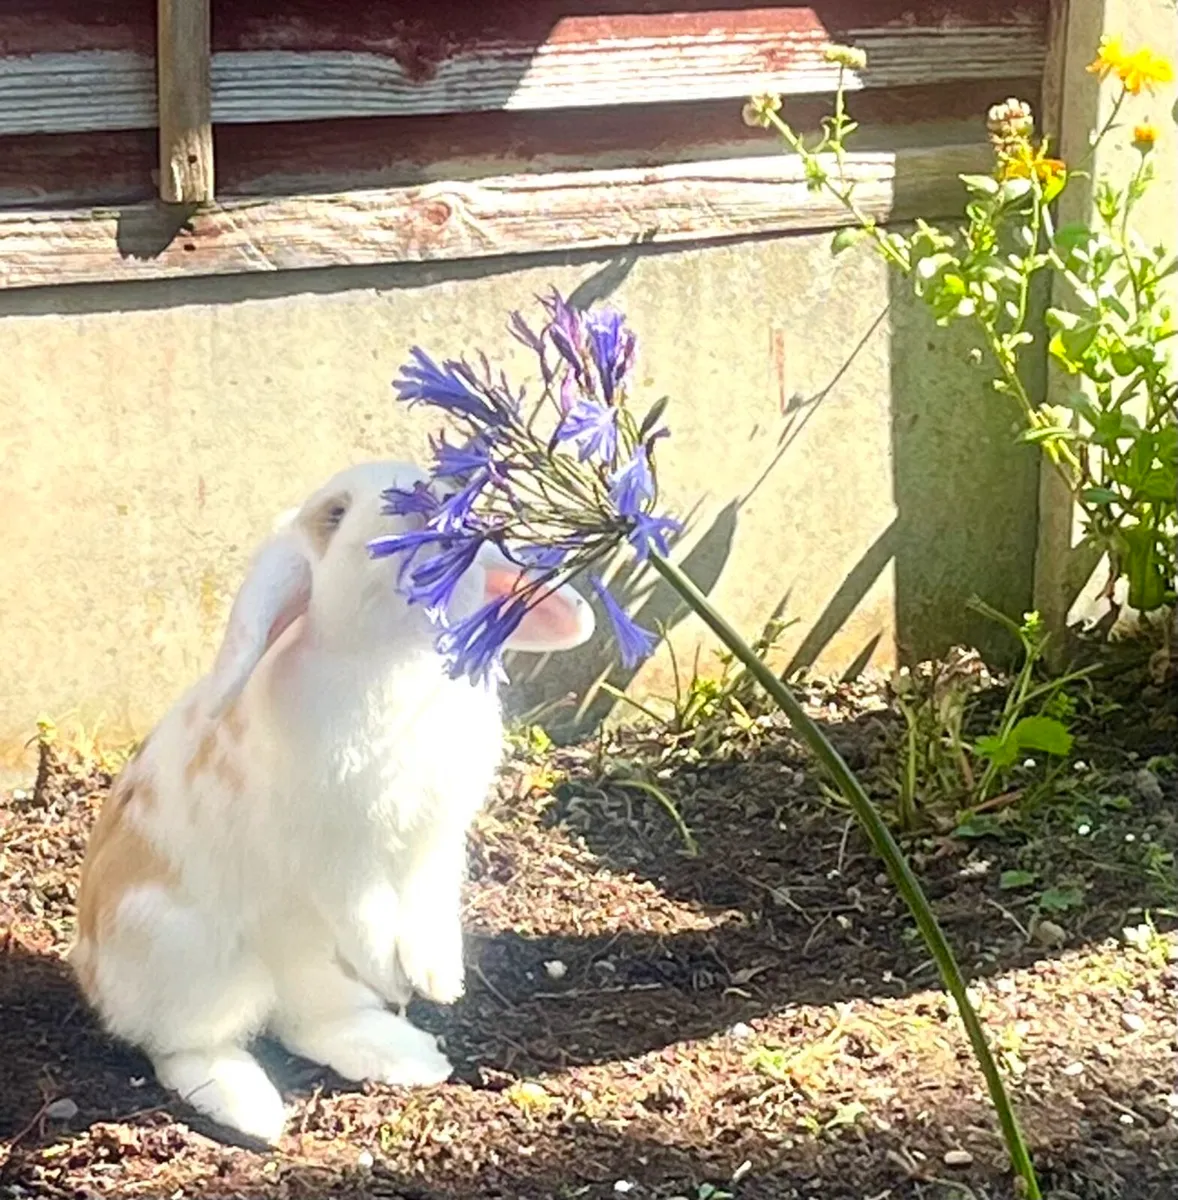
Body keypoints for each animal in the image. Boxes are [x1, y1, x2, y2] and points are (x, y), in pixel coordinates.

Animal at [69, 459, 595, 1144]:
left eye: (447, 485)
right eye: (335, 515)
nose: (423, 499)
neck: (395, 655)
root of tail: (90, 971)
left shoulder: (434, 841)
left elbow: (430, 909)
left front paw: (438, 980)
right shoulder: (339, 857)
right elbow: (368, 918)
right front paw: (396, 975)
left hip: (302, 972)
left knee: (308, 1020)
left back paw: (410, 1057)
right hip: (185, 956)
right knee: (183, 1044)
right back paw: (254, 1112)